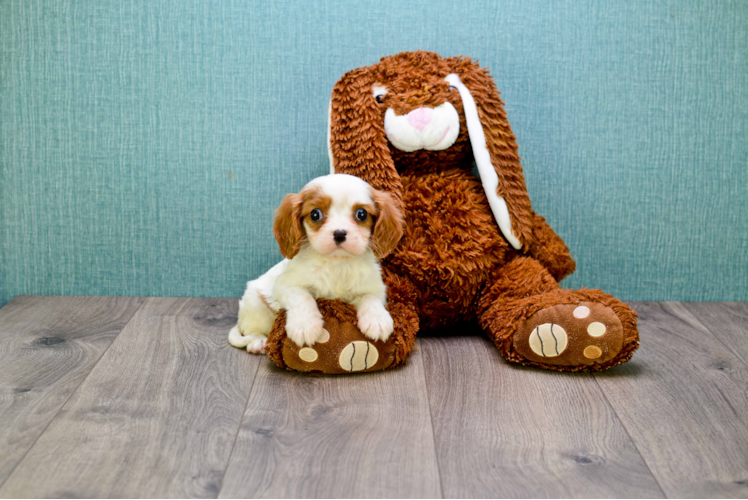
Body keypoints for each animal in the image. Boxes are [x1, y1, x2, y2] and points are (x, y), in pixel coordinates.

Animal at [228, 174, 404, 354]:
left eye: (361, 214)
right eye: (315, 214)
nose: (339, 233)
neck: (337, 262)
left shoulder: (376, 289)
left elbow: (370, 297)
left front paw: (377, 320)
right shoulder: (285, 285)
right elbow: (302, 296)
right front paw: (305, 326)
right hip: (256, 304)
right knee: (252, 329)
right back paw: (259, 342)